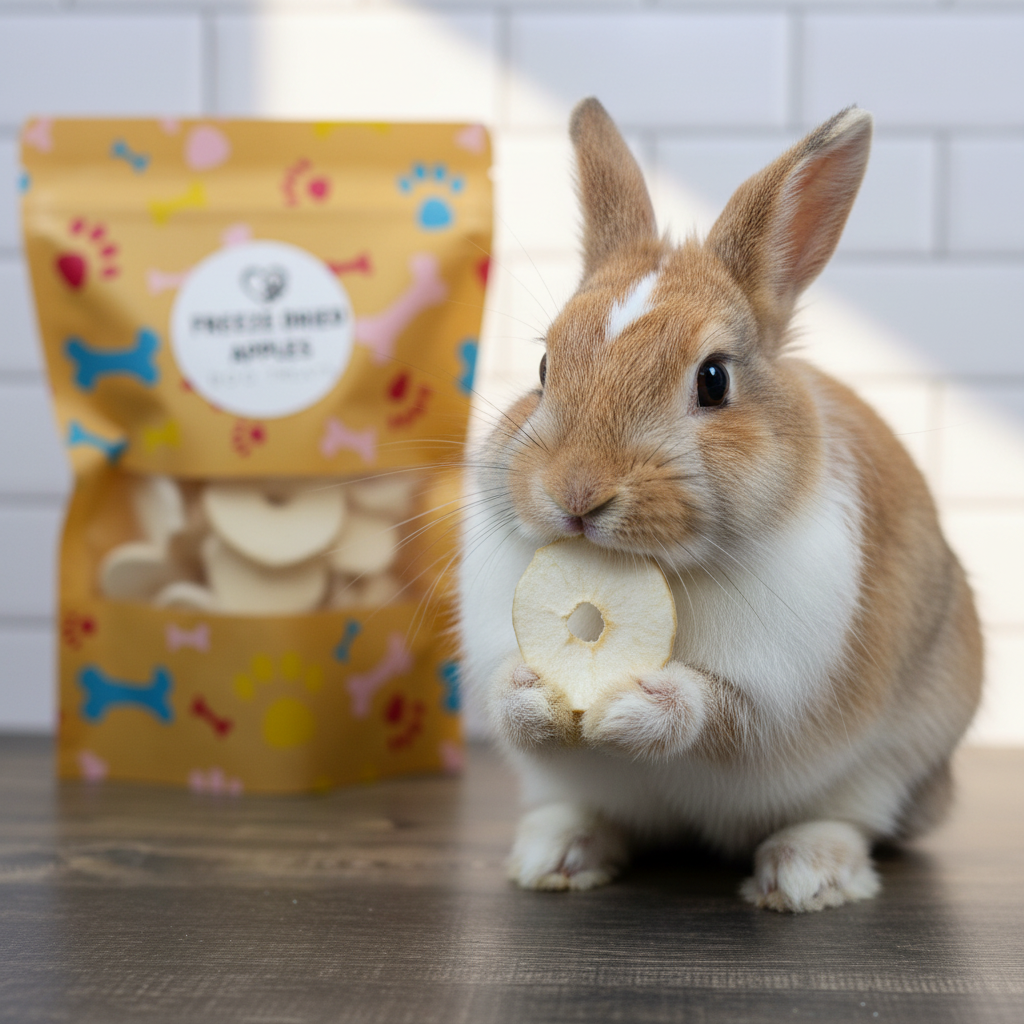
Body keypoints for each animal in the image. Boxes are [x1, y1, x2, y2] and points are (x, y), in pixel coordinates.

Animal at [456, 98, 982, 912]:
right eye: (544, 367)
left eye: (713, 380)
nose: (575, 492)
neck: (666, 571)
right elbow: (508, 699)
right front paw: (530, 693)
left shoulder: (774, 693)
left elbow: (716, 714)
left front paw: (637, 706)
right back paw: (558, 856)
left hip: (900, 751)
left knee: (854, 815)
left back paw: (806, 874)